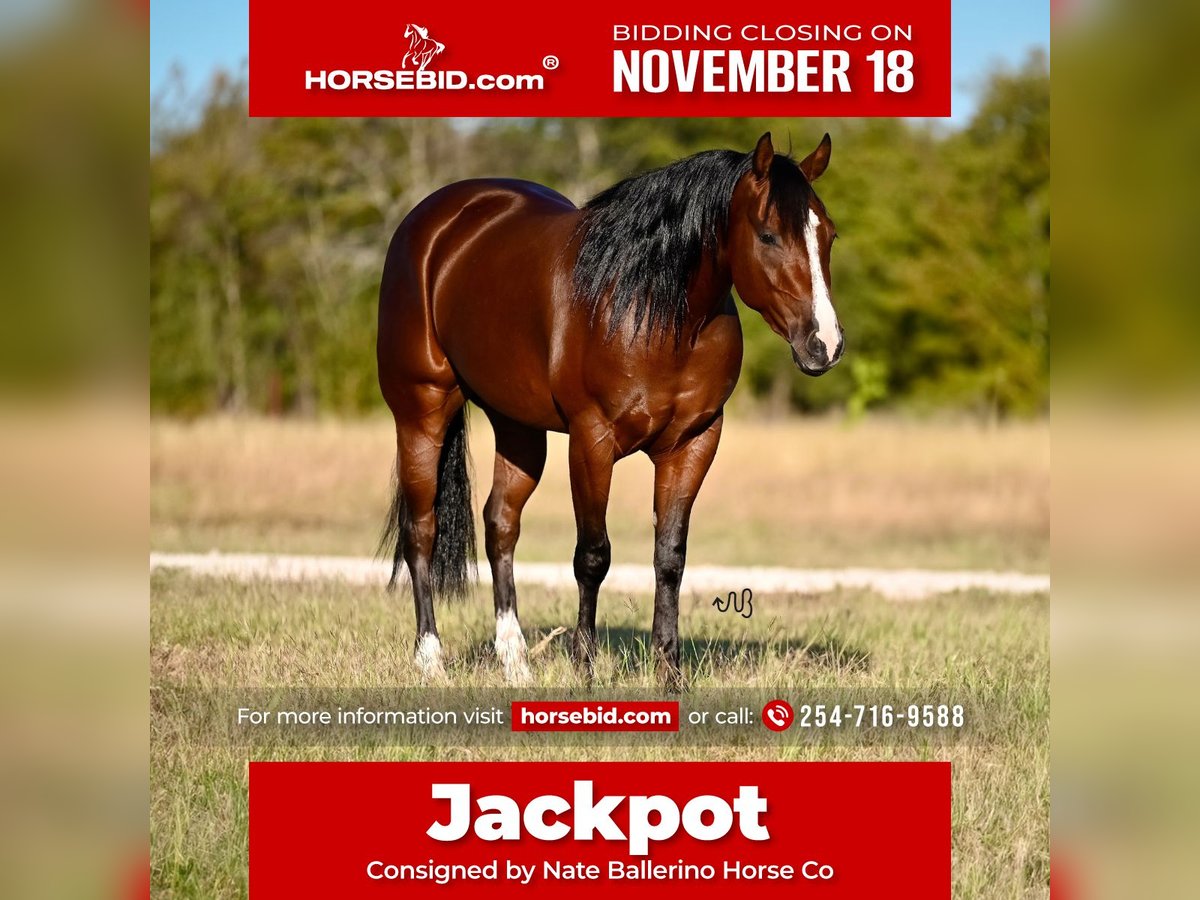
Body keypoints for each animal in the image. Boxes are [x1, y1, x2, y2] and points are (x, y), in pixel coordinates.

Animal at [376, 130, 844, 686]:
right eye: (769, 235)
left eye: (829, 235)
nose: (824, 344)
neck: (656, 311)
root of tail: (434, 221)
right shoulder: (591, 442)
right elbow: (593, 556)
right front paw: (586, 668)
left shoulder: (693, 443)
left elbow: (670, 557)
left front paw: (669, 673)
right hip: (422, 411)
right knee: (421, 529)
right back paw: (431, 659)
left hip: (518, 429)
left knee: (500, 525)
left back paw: (515, 661)